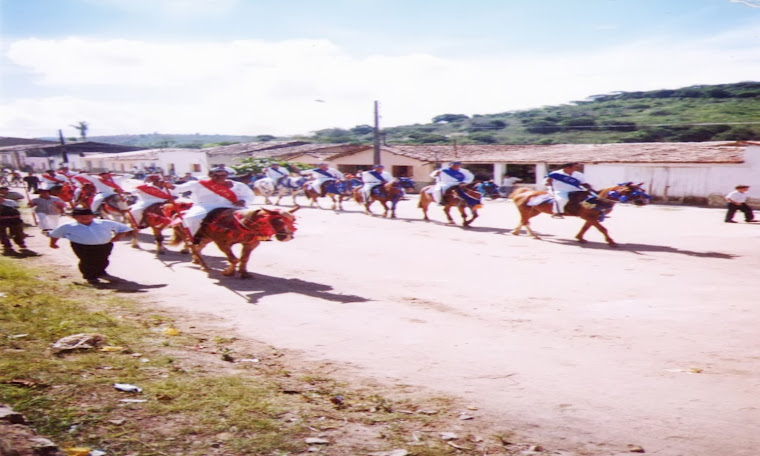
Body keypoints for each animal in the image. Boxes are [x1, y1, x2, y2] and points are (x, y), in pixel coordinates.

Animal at [508, 182, 652, 246]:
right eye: (632, 192)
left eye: (642, 190)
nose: (644, 201)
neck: (596, 199)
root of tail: (522, 191)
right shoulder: (590, 217)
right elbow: (602, 229)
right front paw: (610, 241)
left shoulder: (591, 217)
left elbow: (585, 227)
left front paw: (580, 237)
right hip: (527, 210)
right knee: (525, 221)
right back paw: (532, 235)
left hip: (534, 211)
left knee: (524, 221)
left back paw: (517, 232)